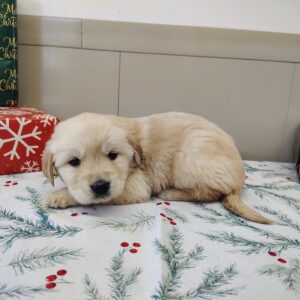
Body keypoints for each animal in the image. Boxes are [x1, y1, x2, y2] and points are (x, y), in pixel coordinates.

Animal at [42, 111, 272, 224]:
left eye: (112, 155)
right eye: (74, 162)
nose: (100, 186)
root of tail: (240, 181)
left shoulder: (135, 185)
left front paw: (60, 196)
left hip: (188, 157)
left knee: (210, 193)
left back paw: (171, 193)